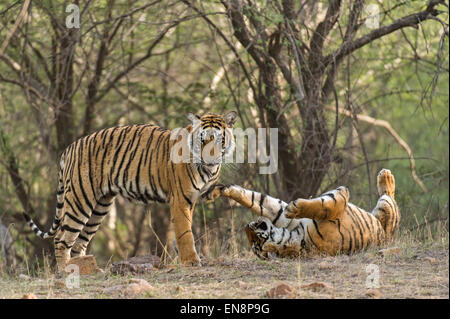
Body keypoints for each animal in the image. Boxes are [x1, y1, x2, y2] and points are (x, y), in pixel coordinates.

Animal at [23, 111, 239, 272]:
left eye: (218, 140)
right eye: (202, 140)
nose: (209, 159)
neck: (209, 169)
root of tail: (70, 147)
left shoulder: (197, 196)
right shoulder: (180, 199)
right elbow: (185, 232)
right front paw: (191, 261)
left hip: (100, 207)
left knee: (78, 243)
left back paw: (89, 270)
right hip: (80, 200)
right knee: (61, 239)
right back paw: (65, 271)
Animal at [207, 169, 398, 258]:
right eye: (256, 241)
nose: (248, 226)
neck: (295, 235)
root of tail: (386, 236)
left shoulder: (280, 215)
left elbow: (257, 200)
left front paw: (220, 190)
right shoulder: (336, 205)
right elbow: (329, 203)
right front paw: (296, 208)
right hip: (386, 206)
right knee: (388, 194)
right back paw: (386, 176)